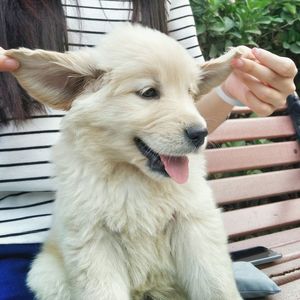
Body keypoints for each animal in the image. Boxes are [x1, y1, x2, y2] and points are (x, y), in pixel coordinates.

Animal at [3, 24, 243, 300]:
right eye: (149, 93)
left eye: (190, 94)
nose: (200, 133)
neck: (134, 177)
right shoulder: (94, 241)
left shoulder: (195, 225)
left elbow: (216, 285)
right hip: (47, 275)